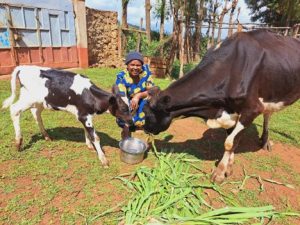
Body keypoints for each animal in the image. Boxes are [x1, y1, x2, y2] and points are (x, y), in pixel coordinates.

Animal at [2, 65, 133, 167]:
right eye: (123, 108)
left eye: (131, 107)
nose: (131, 122)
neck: (90, 95)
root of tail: (23, 67)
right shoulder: (85, 116)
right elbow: (95, 137)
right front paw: (103, 159)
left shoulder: (83, 115)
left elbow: (87, 131)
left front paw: (89, 146)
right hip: (28, 99)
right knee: (14, 109)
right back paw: (18, 142)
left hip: (39, 101)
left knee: (36, 114)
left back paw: (46, 136)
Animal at [143, 30, 300, 183]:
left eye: (148, 113)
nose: (144, 129)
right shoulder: (230, 112)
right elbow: (233, 139)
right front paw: (228, 168)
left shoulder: (252, 109)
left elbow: (229, 143)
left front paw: (219, 173)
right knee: (268, 112)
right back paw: (264, 140)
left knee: (268, 114)